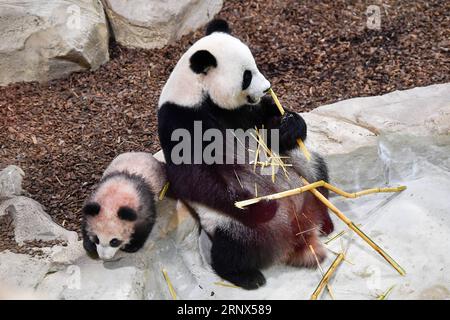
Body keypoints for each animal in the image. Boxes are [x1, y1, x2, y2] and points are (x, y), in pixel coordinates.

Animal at [156, 20, 332, 290]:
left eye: (256, 65)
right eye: (247, 75)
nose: (268, 87)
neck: (197, 93)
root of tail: (295, 231)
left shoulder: (240, 112)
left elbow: (268, 125)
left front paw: (290, 124)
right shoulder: (180, 118)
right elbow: (192, 176)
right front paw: (263, 206)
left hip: (303, 174)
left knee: (318, 174)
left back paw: (325, 223)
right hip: (229, 223)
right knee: (230, 249)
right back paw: (247, 276)